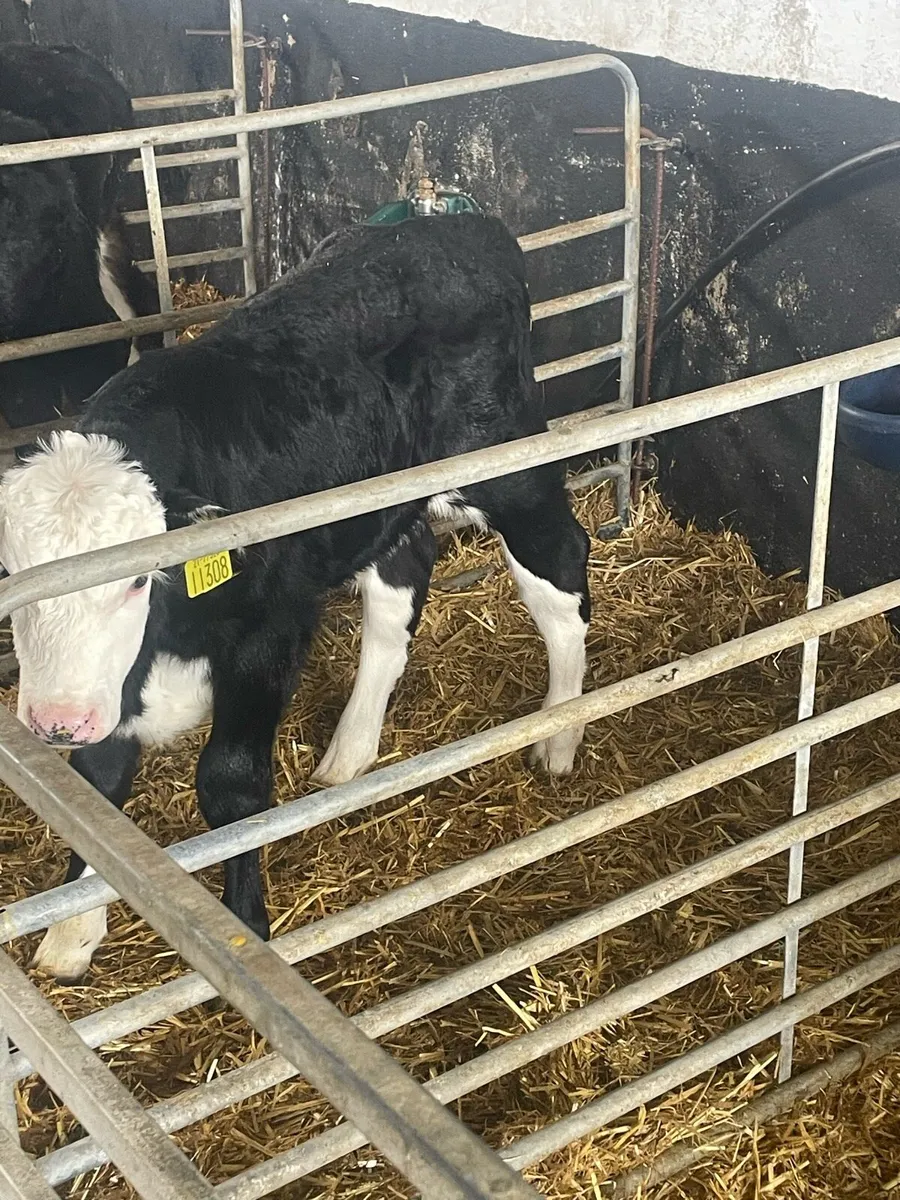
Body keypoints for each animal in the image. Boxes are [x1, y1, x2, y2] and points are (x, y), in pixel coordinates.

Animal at [0, 214, 591, 982]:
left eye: (135, 579)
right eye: (12, 575)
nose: (55, 722)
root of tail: (463, 222)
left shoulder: (268, 632)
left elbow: (230, 786)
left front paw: (244, 925)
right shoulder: (113, 683)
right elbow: (97, 781)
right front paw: (72, 930)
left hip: (506, 464)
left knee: (559, 572)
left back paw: (560, 733)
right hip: (377, 502)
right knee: (400, 584)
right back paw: (350, 751)